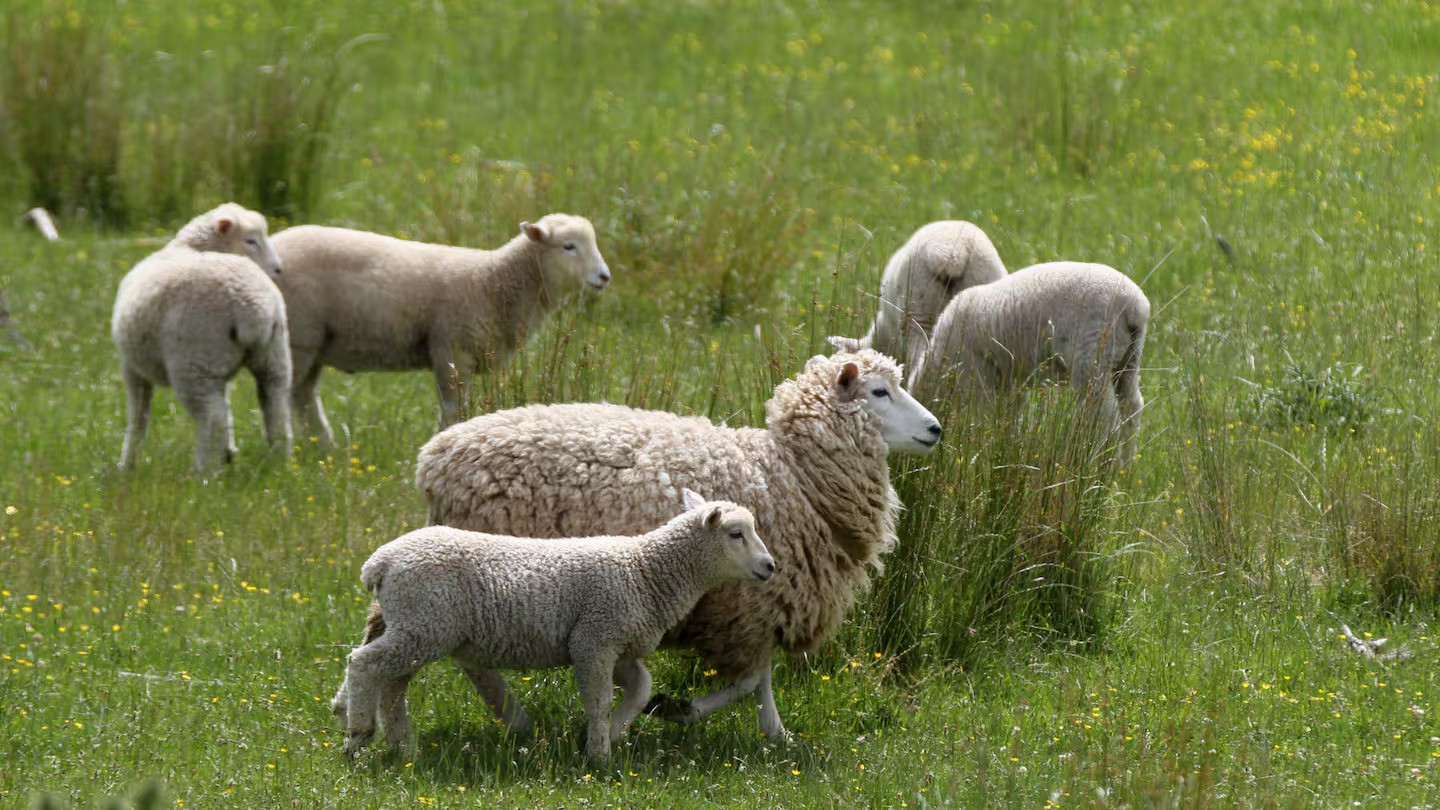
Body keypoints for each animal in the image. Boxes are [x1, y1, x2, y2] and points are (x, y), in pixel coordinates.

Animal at [111, 203, 291, 471]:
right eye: (251, 241)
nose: (278, 269)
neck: (189, 247)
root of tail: (252, 304)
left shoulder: (131, 366)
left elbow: (138, 414)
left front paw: (127, 464)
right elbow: (226, 404)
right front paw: (230, 451)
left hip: (194, 361)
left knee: (211, 417)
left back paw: (204, 471)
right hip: (270, 354)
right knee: (274, 402)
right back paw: (279, 460)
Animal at [269, 214, 611, 444]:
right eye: (568, 246)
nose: (605, 276)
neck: (493, 282)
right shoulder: (451, 350)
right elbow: (453, 409)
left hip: (314, 342)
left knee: (303, 396)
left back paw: (325, 447)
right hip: (298, 336)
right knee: (282, 394)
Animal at [333, 488, 776, 762]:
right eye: (736, 534)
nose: (771, 567)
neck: (645, 572)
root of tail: (381, 563)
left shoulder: (614, 644)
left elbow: (641, 689)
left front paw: (614, 733)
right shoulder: (594, 638)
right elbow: (598, 699)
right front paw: (599, 756)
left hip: (416, 627)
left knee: (392, 683)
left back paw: (401, 746)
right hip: (423, 624)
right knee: (365, 664)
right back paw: (359, 734)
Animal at [406, 348, 942, 740]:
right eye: (879, 392)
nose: (936, 429)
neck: (793, 471)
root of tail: (433, 459)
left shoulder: (760, 601)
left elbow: (761, 680)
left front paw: (776, 735)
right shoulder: (749, 602)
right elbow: (750, 680)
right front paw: (680, 709)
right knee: (471, 661)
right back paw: (516, 720)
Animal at [909, 261, 1150, 460]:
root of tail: (1134, 305)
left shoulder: (975, 371)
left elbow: (983, 414)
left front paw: (978, 446)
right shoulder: (1014, 380)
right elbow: (1011, 415)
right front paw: (1005, 445)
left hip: (1092, 355)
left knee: (1105, 417)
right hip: (1128, 359)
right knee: (1132, 407)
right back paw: (1125, 466)